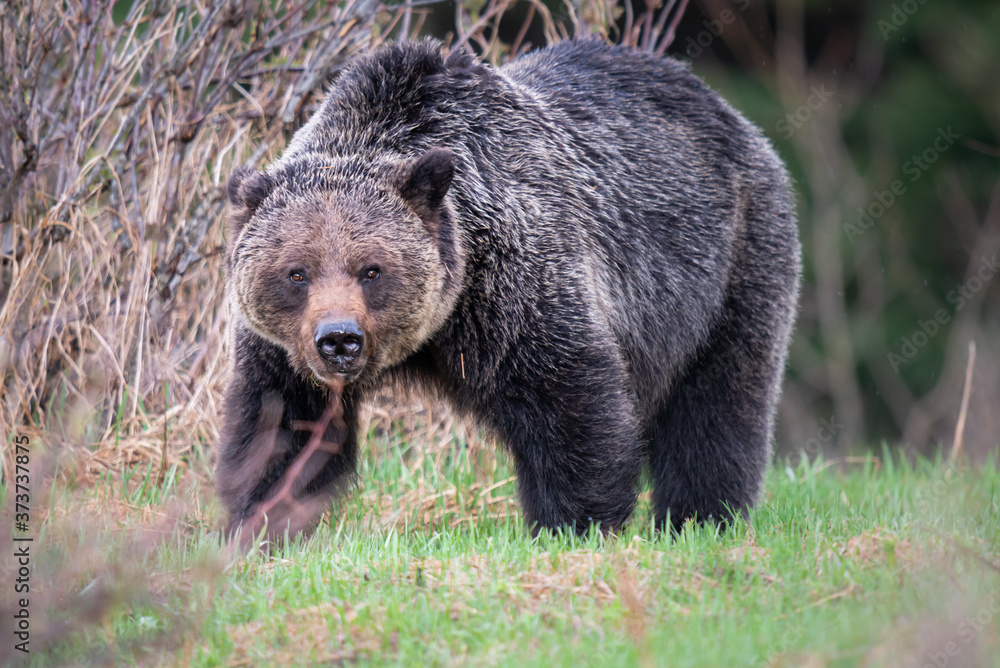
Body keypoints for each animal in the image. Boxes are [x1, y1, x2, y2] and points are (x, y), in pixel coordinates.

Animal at [215, 37, 800, 536]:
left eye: (372, 269)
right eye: (297, 271)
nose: (339, 340)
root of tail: (725, 110)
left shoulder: (515, 286)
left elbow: (569, 403)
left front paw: (575, 523)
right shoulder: (281, 351)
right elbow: (281, 428)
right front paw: (261, 521)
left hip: (727, 262)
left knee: (716, 403)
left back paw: (701, 516)